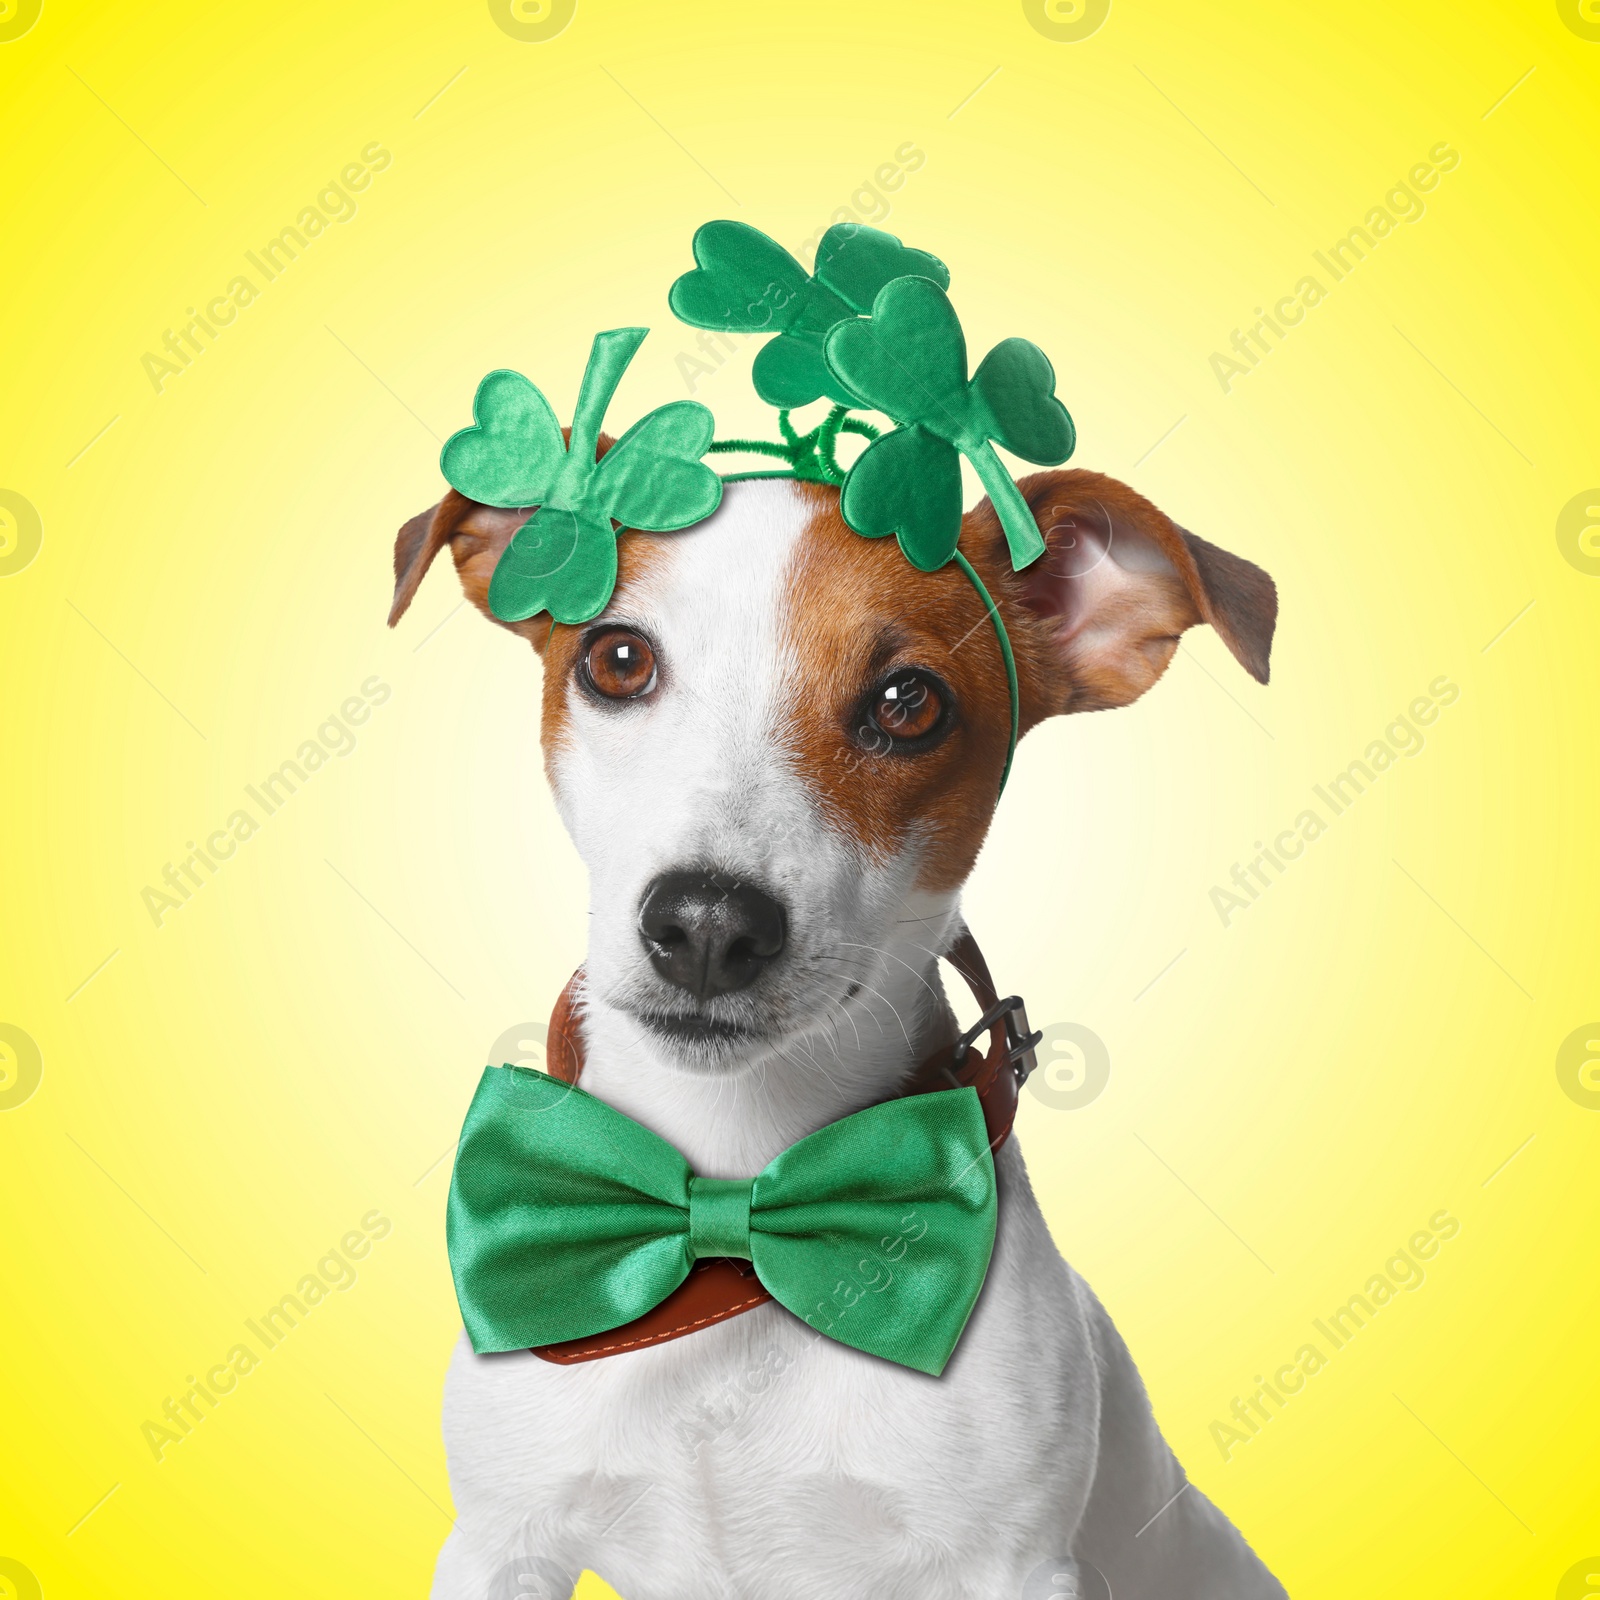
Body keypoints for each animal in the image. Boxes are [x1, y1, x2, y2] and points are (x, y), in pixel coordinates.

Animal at [390, 454, 1286, 1600]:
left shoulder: (1009, 1566)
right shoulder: (501, 1542)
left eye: (908, 703)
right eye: (618, 659)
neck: (737, 1195)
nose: (707, 923)